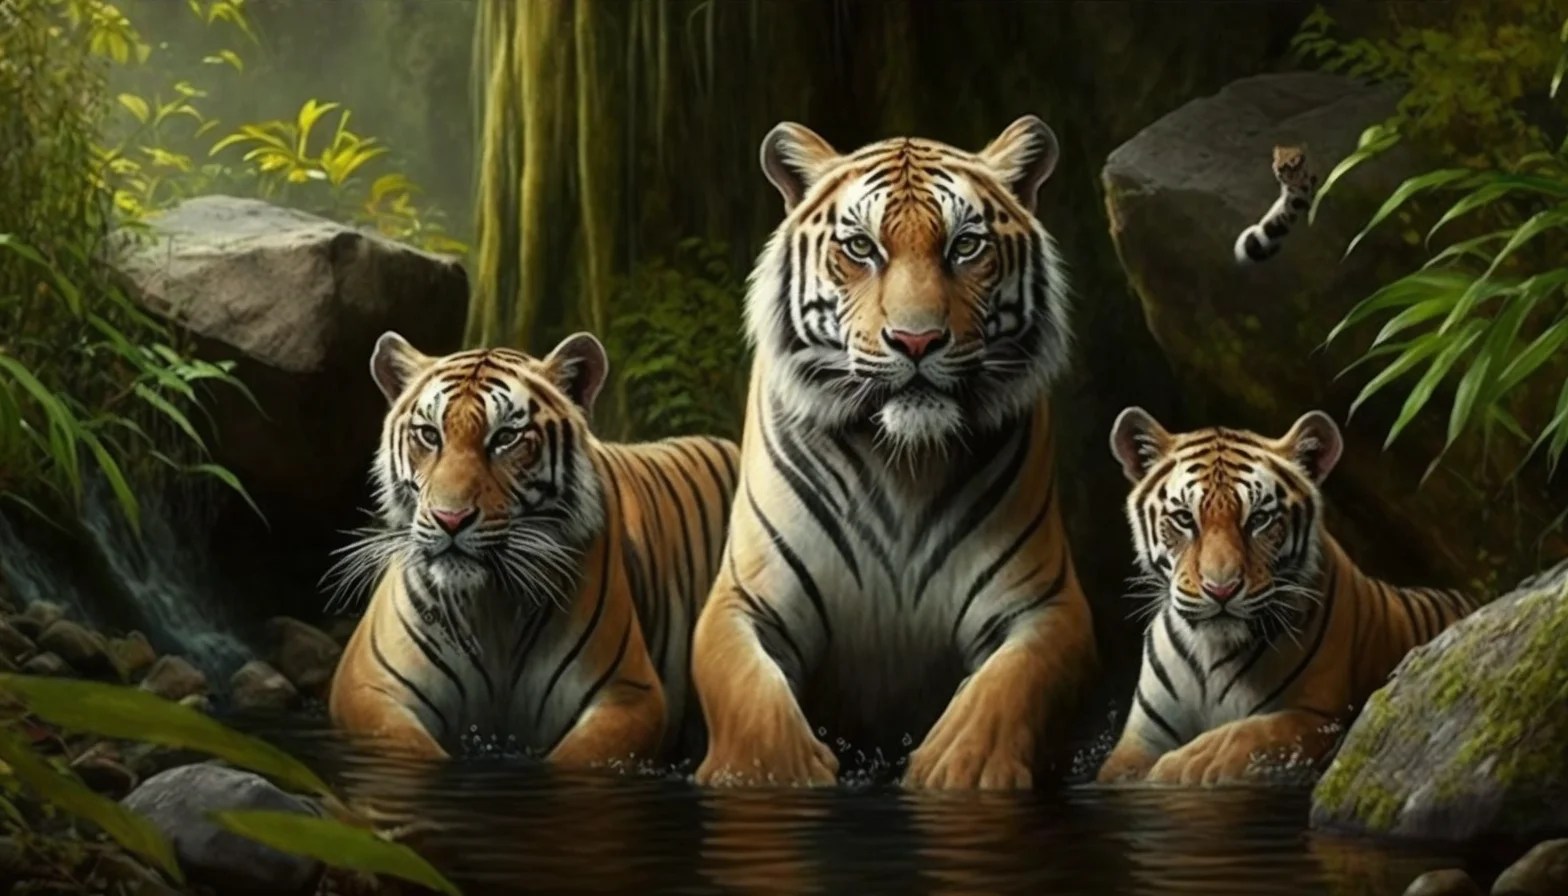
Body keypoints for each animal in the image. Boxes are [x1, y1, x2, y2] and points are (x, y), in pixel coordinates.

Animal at [326, 330, 738, 767]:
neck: (491, 611)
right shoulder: (366, 686)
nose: (449, 519)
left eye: (506, 438)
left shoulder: (630, 695)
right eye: (429, 435)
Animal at [690, 115, 1097, 791]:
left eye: (965, 246)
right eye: (861, 248)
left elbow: (1013, 683)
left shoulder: (1046, 602)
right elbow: (744, 686)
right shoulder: (743, 598)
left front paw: (960, 765)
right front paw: (771, 770)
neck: (902, 463)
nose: (917, 340)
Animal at [1095, 407, 1480, 785]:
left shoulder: (1321, 716)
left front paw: (1190, 763)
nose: (1221, 589)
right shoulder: (1140, 739)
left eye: (1259, 519)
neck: (1212, 655)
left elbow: (1253, 733)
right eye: (1184, 519)